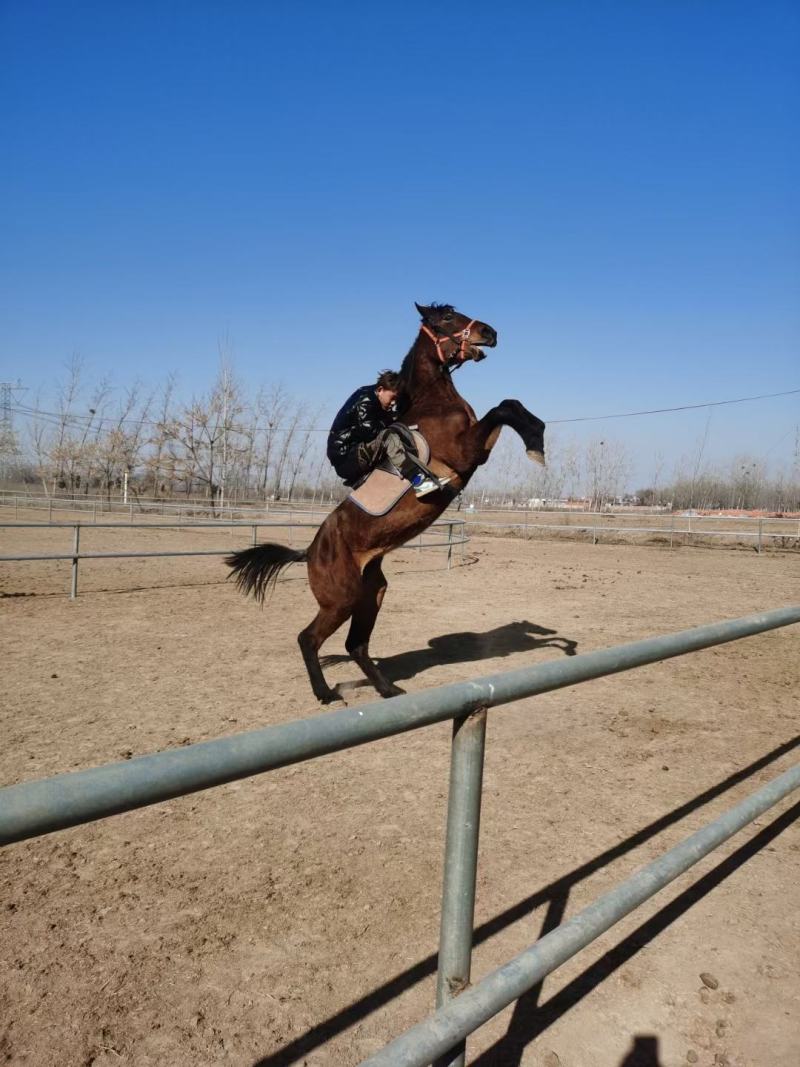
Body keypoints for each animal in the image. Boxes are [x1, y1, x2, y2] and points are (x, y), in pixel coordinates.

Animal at [226, 302, 545, 704]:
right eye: (446, 318)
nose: (490, 332)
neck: (434, 404)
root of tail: (309, 551)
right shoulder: (466, 452)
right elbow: (502, 408)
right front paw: (537, 446)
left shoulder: (479, 447)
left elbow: (509, 405)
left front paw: (538, 439)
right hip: (342, 599)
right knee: (308, 639)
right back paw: (326, 694)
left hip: (371, 594)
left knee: (356, 645)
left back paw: (387, 689)